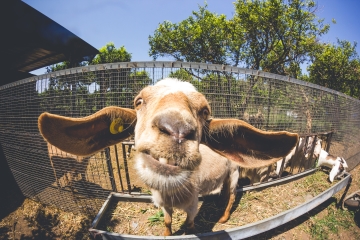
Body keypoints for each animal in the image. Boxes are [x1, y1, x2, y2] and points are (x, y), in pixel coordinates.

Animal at [38, 78, 298, 235]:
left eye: (205, 111)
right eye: (139, 101)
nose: (177, 130)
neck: (172, 193)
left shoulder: (193, 205)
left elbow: (190, 224)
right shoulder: (163, 205)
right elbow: (167, 221)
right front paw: (166, 233)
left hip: (233, 174)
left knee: (232, 196)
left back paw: (224, 218)